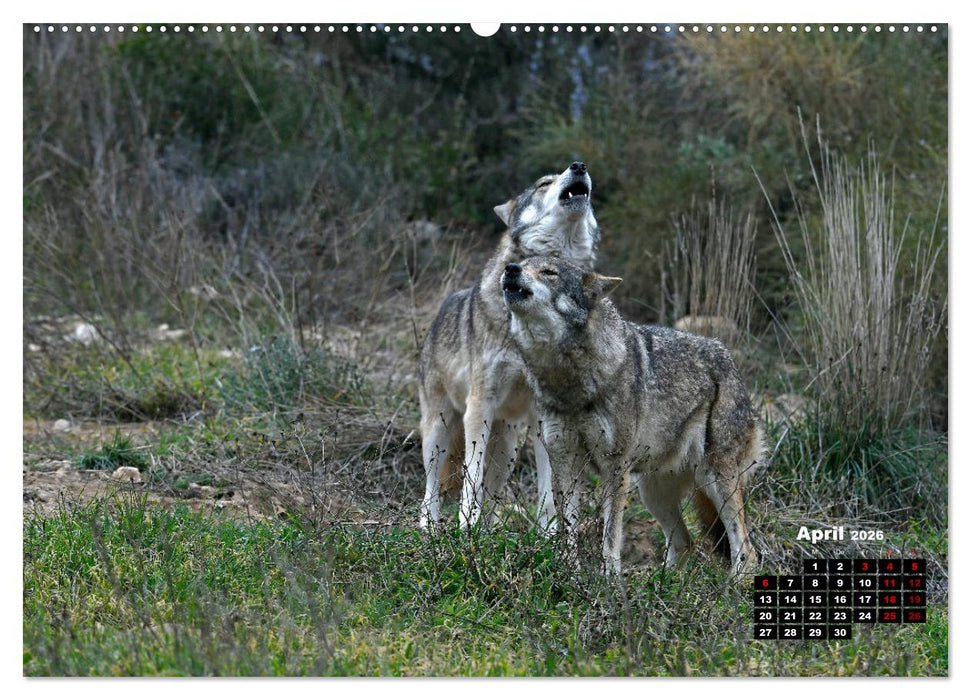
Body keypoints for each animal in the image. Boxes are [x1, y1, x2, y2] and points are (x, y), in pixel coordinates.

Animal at [419, 162, 600, 531]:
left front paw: (549, 532)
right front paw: (465, 525)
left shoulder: (545, 413)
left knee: (494, 489)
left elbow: (548, 484)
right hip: (439, 429)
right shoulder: (479, 405)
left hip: (509, 447)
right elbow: (471, 476)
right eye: (544, 183)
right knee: (431, 483)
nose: (579, 166)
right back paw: (429, 527)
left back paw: (489, 531)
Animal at [500, 256, 762, 576]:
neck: (569, 382)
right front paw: (569, 572)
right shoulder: (565, 461)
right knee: (684, 544)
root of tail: (729, 358)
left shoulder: (615, 467)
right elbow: (569, 527)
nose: (510, 269)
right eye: (522, 263)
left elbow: (611, 535)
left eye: (549, 273)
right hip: (652, 493)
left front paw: (609, 579)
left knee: (746, 549)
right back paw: (661, 583)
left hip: (714, 478)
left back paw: (732, 585)